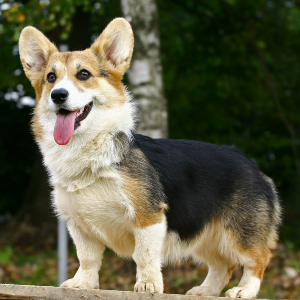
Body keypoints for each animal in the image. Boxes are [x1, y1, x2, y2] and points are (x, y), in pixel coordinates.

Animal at [18, 18, 282, 298]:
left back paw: (244, 289)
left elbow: (144, 255)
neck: (90, 151)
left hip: (239, 234)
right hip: (203, 234)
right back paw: (204, 290)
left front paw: (148, 285)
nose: (58, 95)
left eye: (84, 74)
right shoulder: (79, 226)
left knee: (258, 259)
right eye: (51, 77)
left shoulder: (148, 217)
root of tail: (253, 166)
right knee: (223, 266)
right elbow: (87, 258)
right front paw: (82, 284)